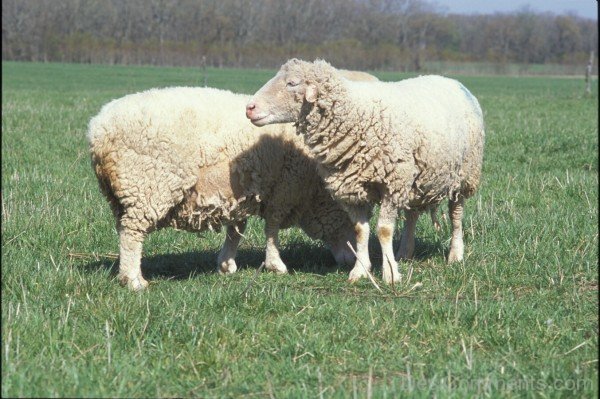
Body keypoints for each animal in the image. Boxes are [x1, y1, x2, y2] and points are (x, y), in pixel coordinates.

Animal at [88, 86, 356, 290]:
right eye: (350, 221)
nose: (351, 261)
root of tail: (98, 130)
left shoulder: (242, 192)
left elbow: (237, 228)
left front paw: (227, 264)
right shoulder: (283, 188)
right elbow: (272, 227)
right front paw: (275, 264)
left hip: (121, 195)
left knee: (123, 230)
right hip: (147, 186)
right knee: (132, 234)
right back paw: (133, 280)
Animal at [246, 58, 486, 284]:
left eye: (292, 83)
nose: (250, 108)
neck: (355, 114)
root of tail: (451, 80)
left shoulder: (392, 184)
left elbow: (384, 230)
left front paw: (390, 274)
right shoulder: (354, 188)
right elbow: (361, 231)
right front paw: (360, 270)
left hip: (465, 175)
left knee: (456, 214)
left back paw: (455, 254)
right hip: (417, 179)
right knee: (412, 215)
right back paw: (405, 252)